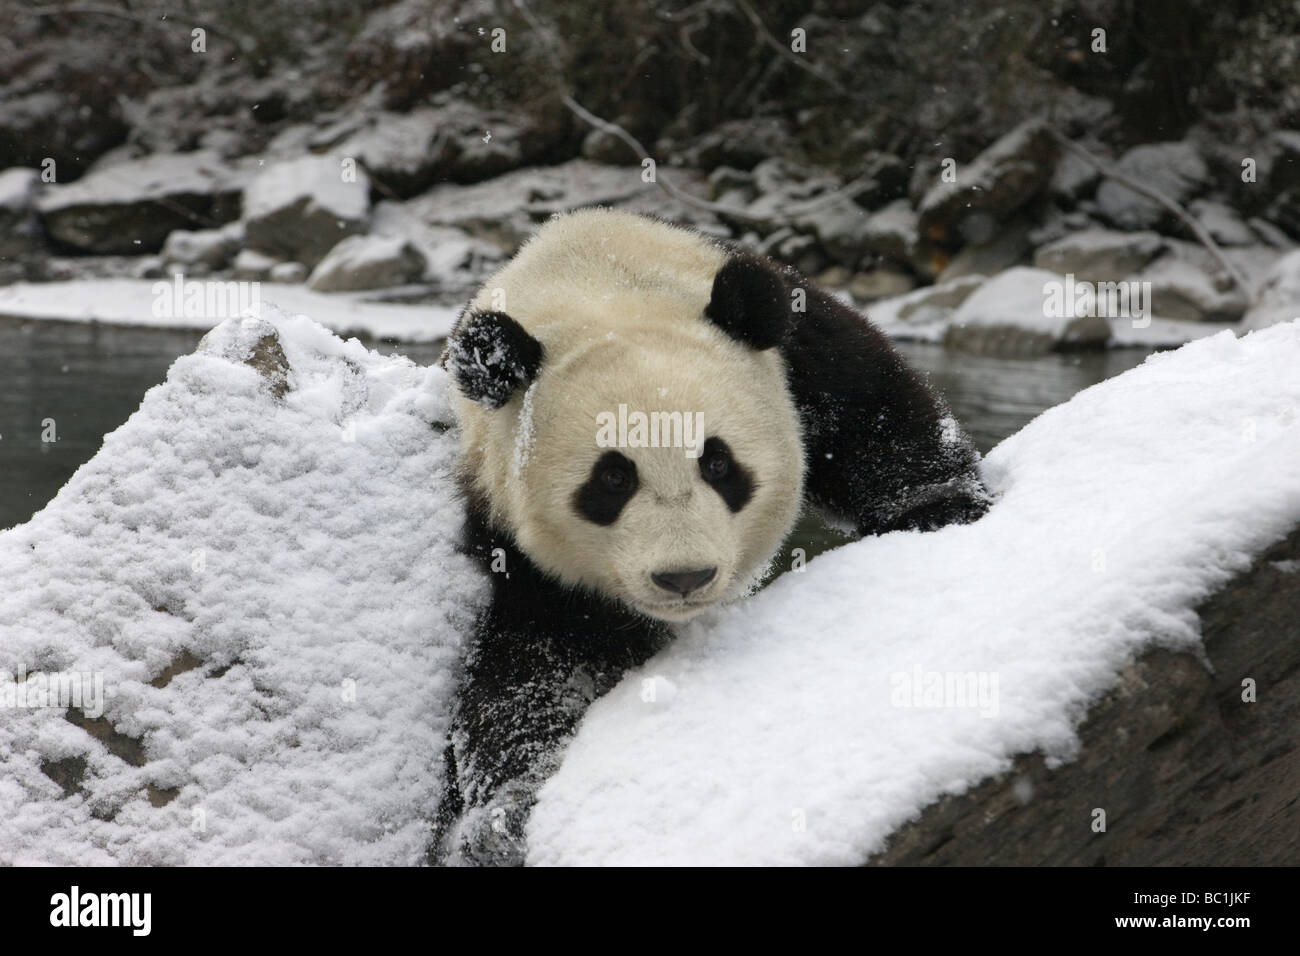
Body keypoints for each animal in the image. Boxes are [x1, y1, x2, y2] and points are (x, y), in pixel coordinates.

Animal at [431, 209, 987, 868]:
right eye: (612, 479)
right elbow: (531, 669)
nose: (684, 577)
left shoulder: (799, 347)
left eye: (719, 464)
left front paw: (938, 512)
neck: (600, 279)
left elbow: (876, 417)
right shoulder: (509, 528)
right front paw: (503, 819)